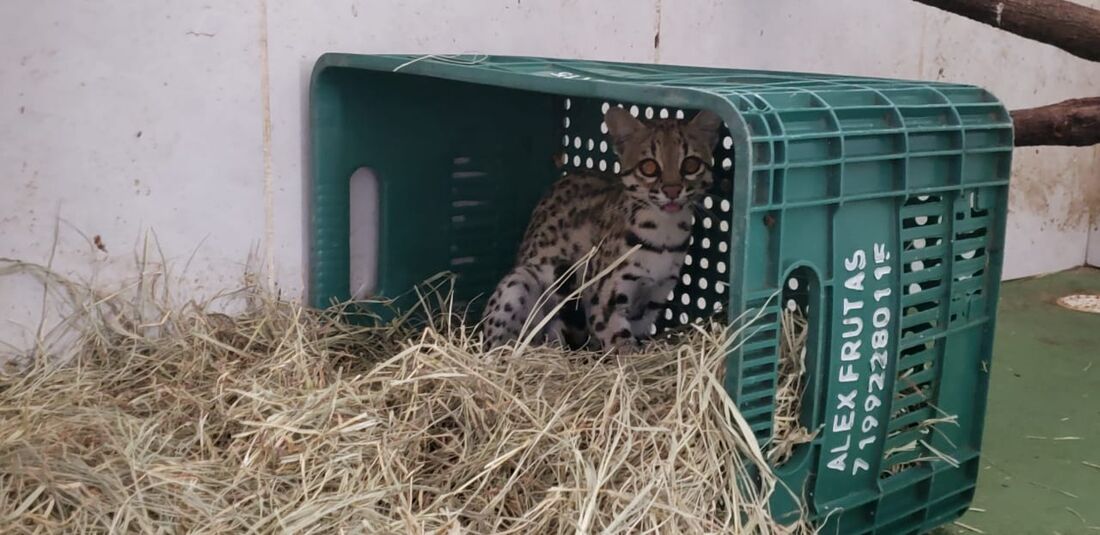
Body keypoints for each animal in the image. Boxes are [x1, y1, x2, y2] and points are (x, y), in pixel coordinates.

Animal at [481, 106, 721, 350]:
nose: (672, 191)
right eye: (649, 167)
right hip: (517, 283)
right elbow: (620, 342)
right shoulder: (605, 301)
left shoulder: (654, 299)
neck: (664, 235)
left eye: (691, 164)